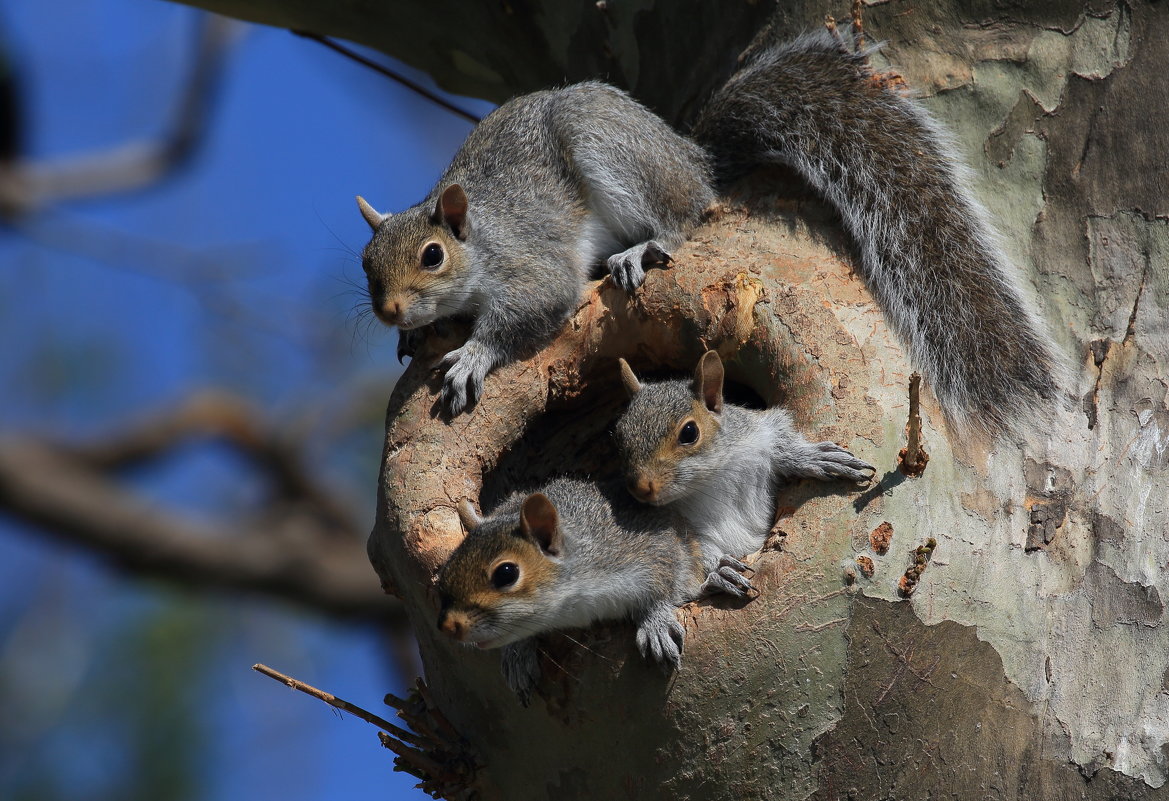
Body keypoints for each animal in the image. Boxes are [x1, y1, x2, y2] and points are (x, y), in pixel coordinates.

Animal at [360, 29, 1066, 430]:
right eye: (366, 266)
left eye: (432, 256)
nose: (390, 311)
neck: (478, 243)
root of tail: (690, 157)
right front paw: (415, 337)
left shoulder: (527, 260)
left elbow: (534, 306)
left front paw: (472, 357)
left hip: (607, 144)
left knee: (688, 211)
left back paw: (642, 247)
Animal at [434, 474, 752, 701]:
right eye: (446, 569)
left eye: (506, 573)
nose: (448, 627)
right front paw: (517, 653)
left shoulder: (649, 549)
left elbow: (665, 582)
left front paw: (656, 623)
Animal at [617, 353, 874, 565]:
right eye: (619, 433)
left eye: (689, 432)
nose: (640, 488)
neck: (709, 479)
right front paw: (718, 567)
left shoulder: (758, 434)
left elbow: (781, 439)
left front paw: (810, 457)